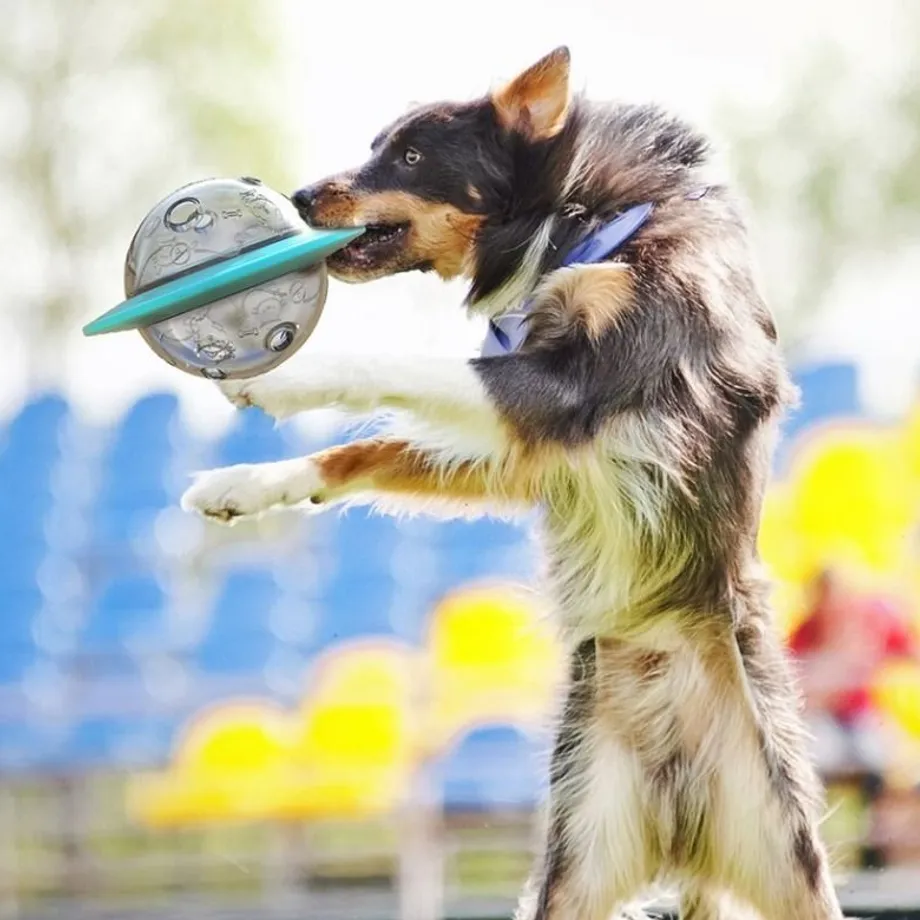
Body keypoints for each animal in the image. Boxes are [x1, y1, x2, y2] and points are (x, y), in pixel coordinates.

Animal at [181, 48, 848, 920]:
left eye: (412, 157)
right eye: (380, 146)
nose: (299, 196)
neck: (575, 221)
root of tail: (684, 819)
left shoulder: (572, 391)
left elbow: (401, 366)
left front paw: (285, 376)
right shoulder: (532, 452)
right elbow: (373, 447)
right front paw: (246, 483)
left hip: (786, 858)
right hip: (575, 860)